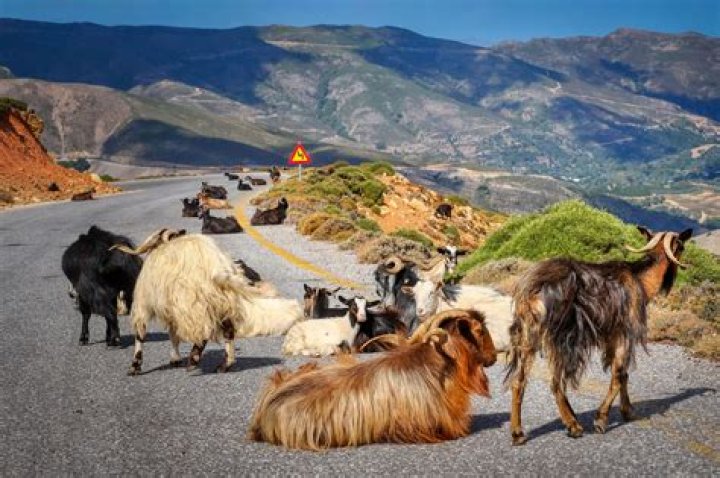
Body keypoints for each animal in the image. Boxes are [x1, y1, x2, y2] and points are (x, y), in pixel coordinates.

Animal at [505, 227, 692, 445]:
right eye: (682, 246)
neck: (641, 280)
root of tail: (530, 288)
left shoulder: (611, 337)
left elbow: (623, 374)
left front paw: (628, 412)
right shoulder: (624, 332)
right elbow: (618, 375)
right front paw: (601, 420)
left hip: (528, 335)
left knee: (519, 380)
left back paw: (518, 433)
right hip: (560, 337)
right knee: (556, 381)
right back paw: (573, 425)